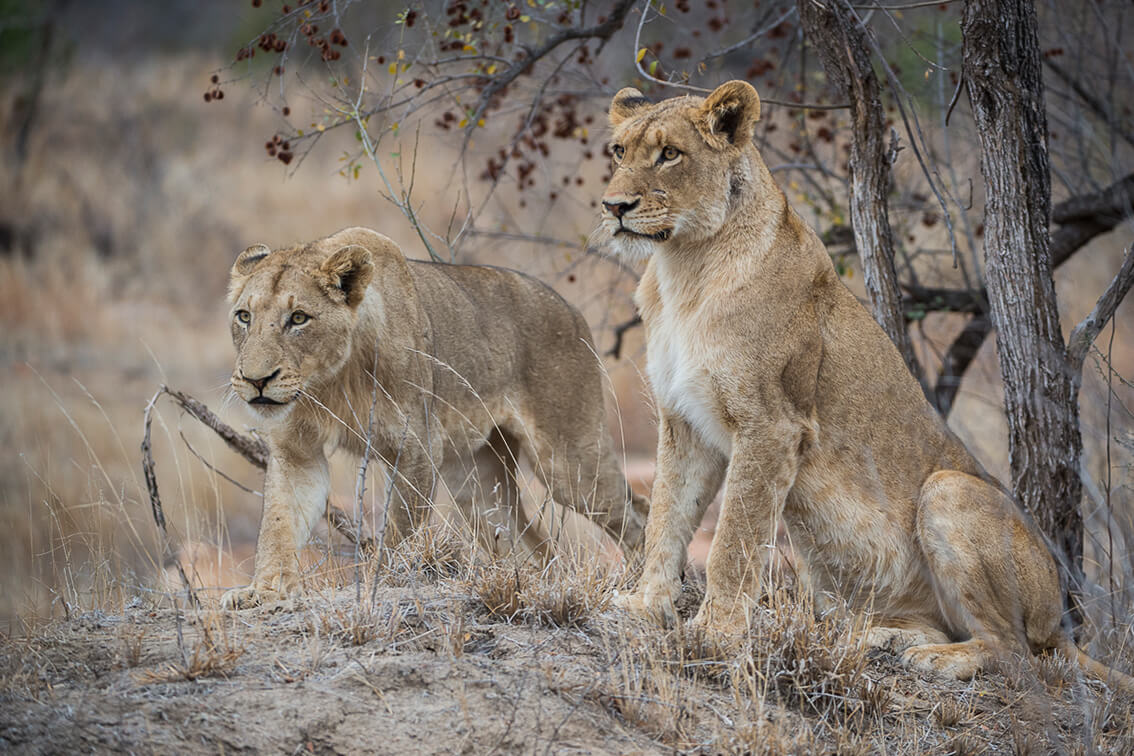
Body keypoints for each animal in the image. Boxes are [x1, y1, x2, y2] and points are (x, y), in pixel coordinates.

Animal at [220, 227, 648, 609]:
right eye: (243, 316)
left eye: (298, 318)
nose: (256, 381)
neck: (329, 382)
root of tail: (570, 308)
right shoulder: (296, 449)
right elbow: (278, 523)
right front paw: (264, 591)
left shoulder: (414, 446)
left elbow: (400, 528)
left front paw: (380, 583)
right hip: (476, 483)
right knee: (533, 544)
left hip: (569, 461)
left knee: (635, 511)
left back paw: (642, 582)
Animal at [596, 80, 1133, 691]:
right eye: (619, 152)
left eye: (670, 154)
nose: (614, 207)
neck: (682, 268)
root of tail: (1062, 626)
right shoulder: (683, 420)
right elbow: (666, 514)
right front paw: (645, 604)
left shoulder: (772, 423)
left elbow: (734, 537)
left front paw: (714, 631)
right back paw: (882, 639)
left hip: (949, 491)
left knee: (1016, 652)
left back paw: (937, 660)